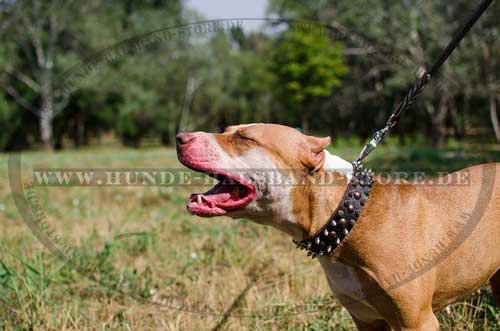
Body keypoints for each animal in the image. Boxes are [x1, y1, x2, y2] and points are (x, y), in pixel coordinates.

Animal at [176, 123, 500, 330]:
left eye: (244, 138)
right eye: (228, 130)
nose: (180, 137)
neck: (347, 218)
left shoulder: (417, 321)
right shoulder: (367, 320)